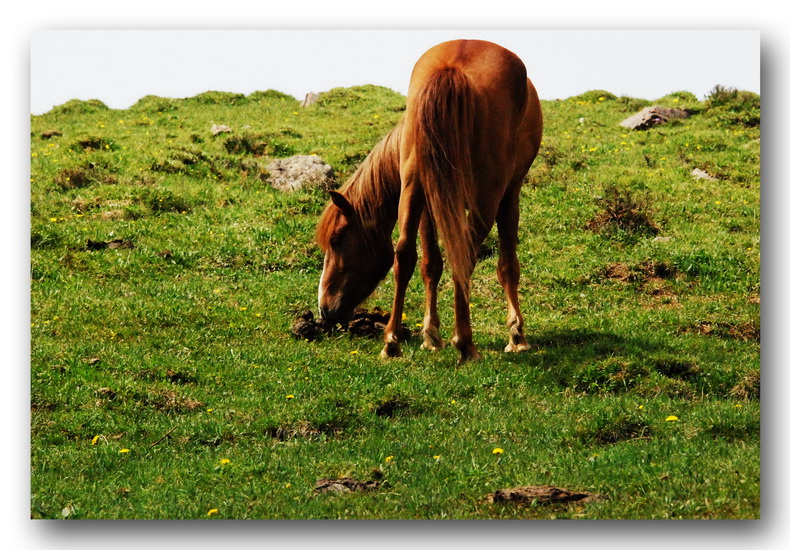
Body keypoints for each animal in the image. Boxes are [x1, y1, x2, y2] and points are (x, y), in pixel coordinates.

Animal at [316, 38, 544, 362]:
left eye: (336, 240)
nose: (324, 310)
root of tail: (452, 67)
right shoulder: (508, 195)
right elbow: (507, 266)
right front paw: (517, 335)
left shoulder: (428, 204)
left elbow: (428, 264)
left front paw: (430, 335)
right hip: (485, 198)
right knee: (464, 257)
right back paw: (465, 342)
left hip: (415, 187)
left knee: (404, 255)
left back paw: (392, 342)